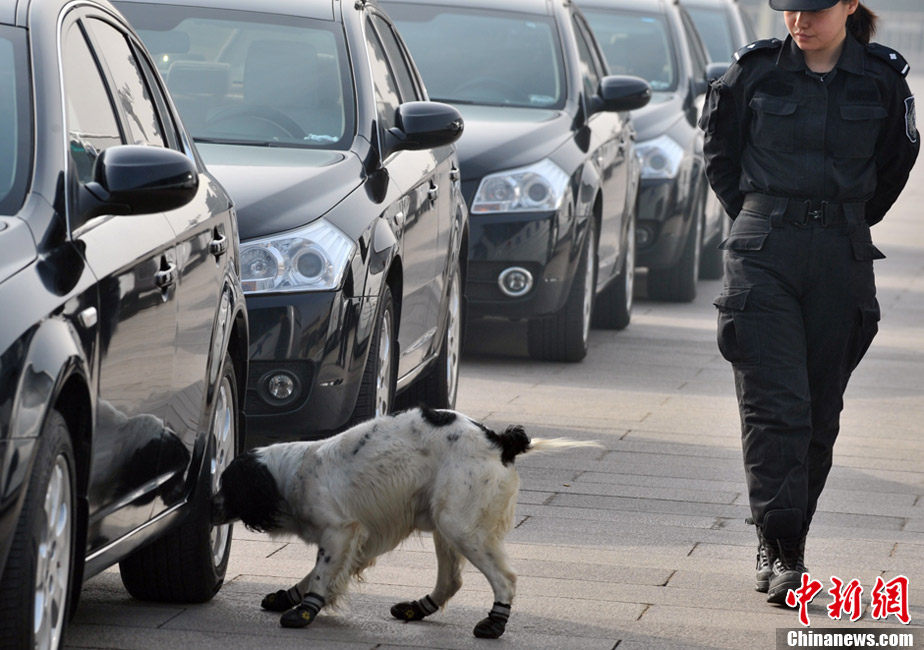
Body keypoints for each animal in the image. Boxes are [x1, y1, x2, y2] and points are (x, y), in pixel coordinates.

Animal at [211, 404, 600, 636]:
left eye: (227, 485)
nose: (209, 505)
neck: (291, 474)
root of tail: (501, 440)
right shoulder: (357, 540)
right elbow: (317, 573)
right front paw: (289, 596)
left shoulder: (340, 529)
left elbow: (320, 573)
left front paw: (305, 610)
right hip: (445, 521)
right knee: (451, 581)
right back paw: (417, 608)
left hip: (459, 524)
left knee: (505, 578)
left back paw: (494, 621)